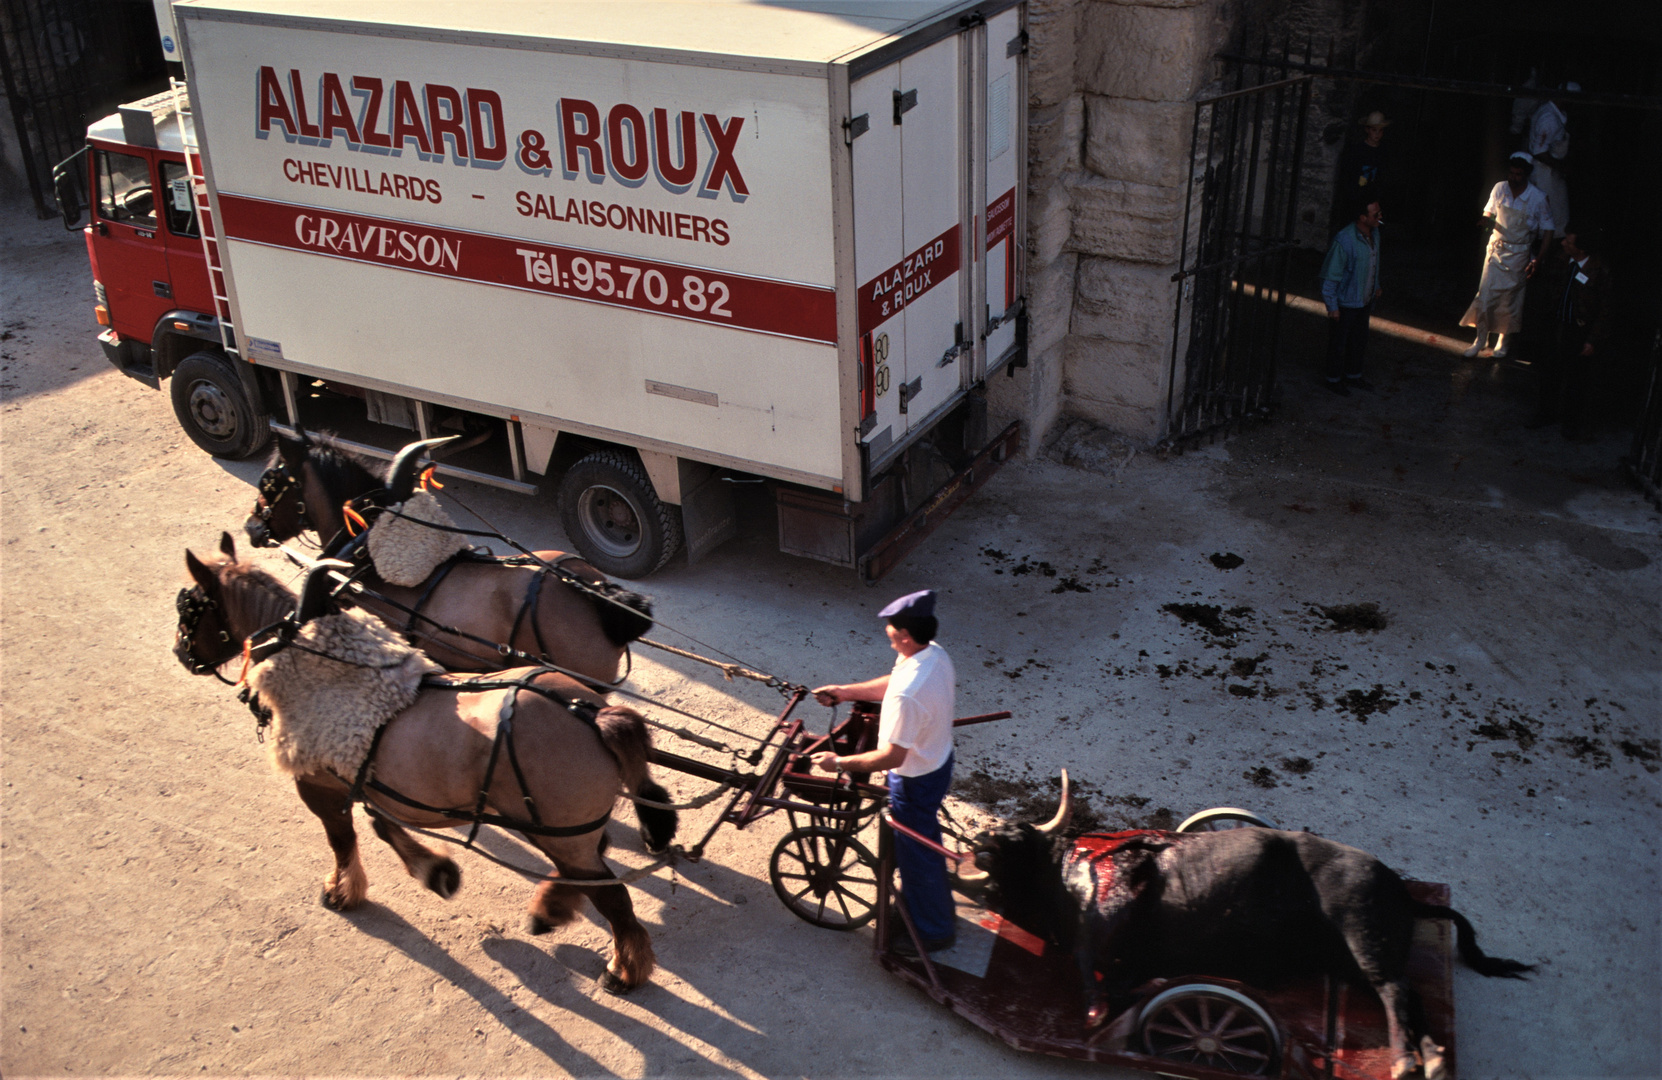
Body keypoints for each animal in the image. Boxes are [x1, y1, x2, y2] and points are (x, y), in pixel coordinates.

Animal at [178, 531, 678, 990]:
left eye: (190, 608)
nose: (181, 654)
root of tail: (591, 712)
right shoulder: (371, 781)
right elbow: (382, 825)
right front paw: (436, 871)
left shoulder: (319, 783)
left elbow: (344, 838)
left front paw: (346, 888)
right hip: (561, 832)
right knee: (595, 863)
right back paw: (554, 908)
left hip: (560, 832)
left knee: (611, 894)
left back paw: (623, 968)